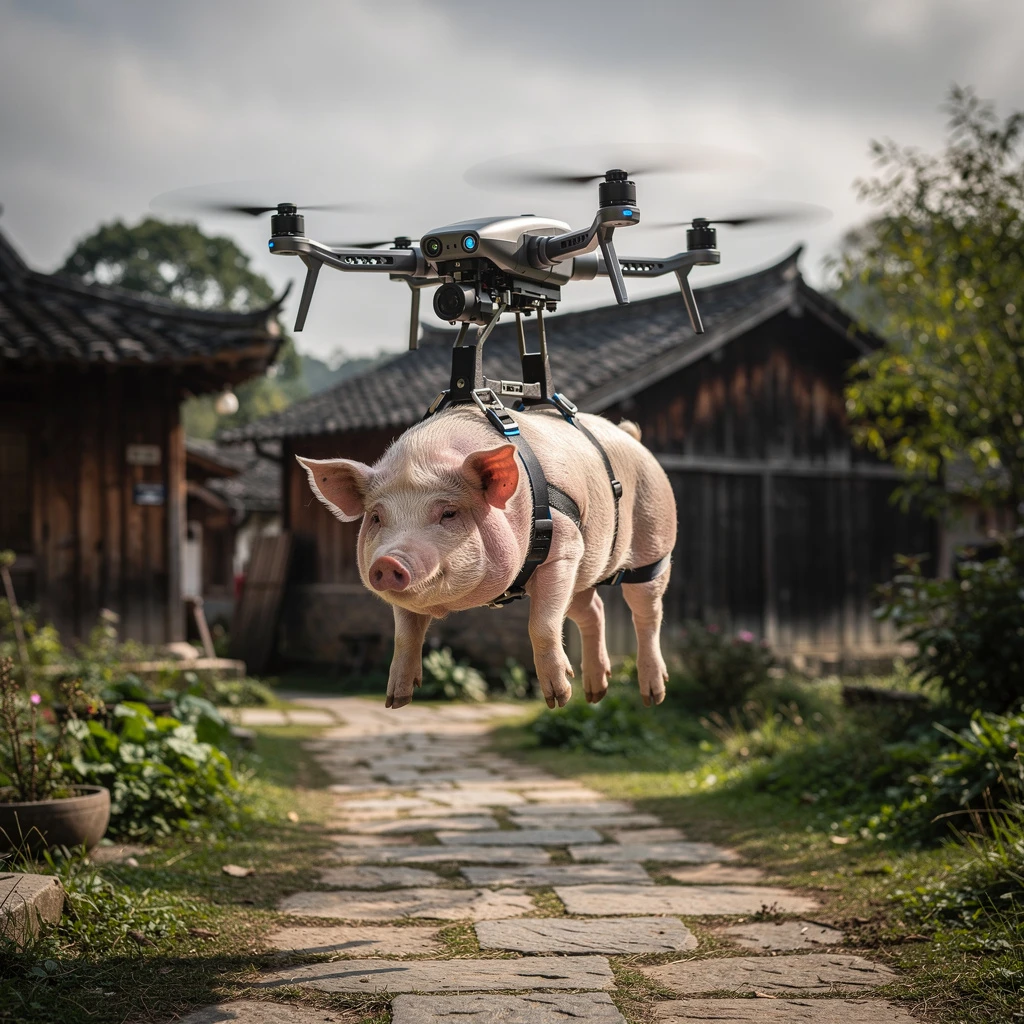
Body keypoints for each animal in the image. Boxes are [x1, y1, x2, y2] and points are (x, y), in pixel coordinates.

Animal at [297, 405, 676, 710]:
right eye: (376, 517)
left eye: (448, 513)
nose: (389, 562)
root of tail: (631, 436)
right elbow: (404, 634)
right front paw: (396, 701)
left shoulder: (566, 546)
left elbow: (542, 624)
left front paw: (558, 699)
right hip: (585, 570)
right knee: (593, 609)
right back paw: (597, 693)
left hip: (654, 543)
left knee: (648, 613)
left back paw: (653, 695)